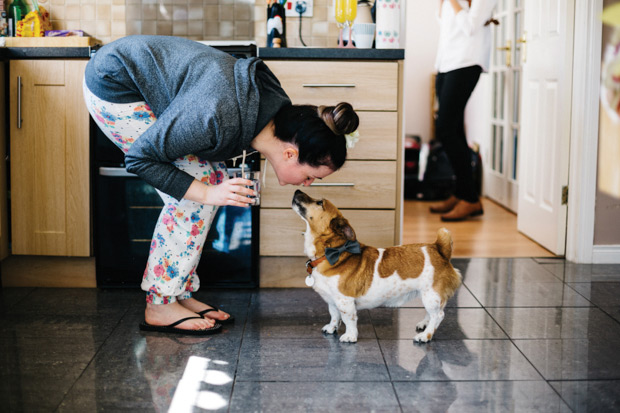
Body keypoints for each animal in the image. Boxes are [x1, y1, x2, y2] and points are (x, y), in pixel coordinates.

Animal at [294, 189, 462, 342]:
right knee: (432, 313)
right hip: (429, 296)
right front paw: (331, 328)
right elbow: (334, 315)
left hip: (431, 295)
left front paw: (350, 336)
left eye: (319, 203)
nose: (297, 190)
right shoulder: (332, 300)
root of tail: (439, 248)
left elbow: (349, 320)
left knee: (438, 315)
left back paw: (425, 335)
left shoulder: (345, 301)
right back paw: (424, 325)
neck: (332, 252)